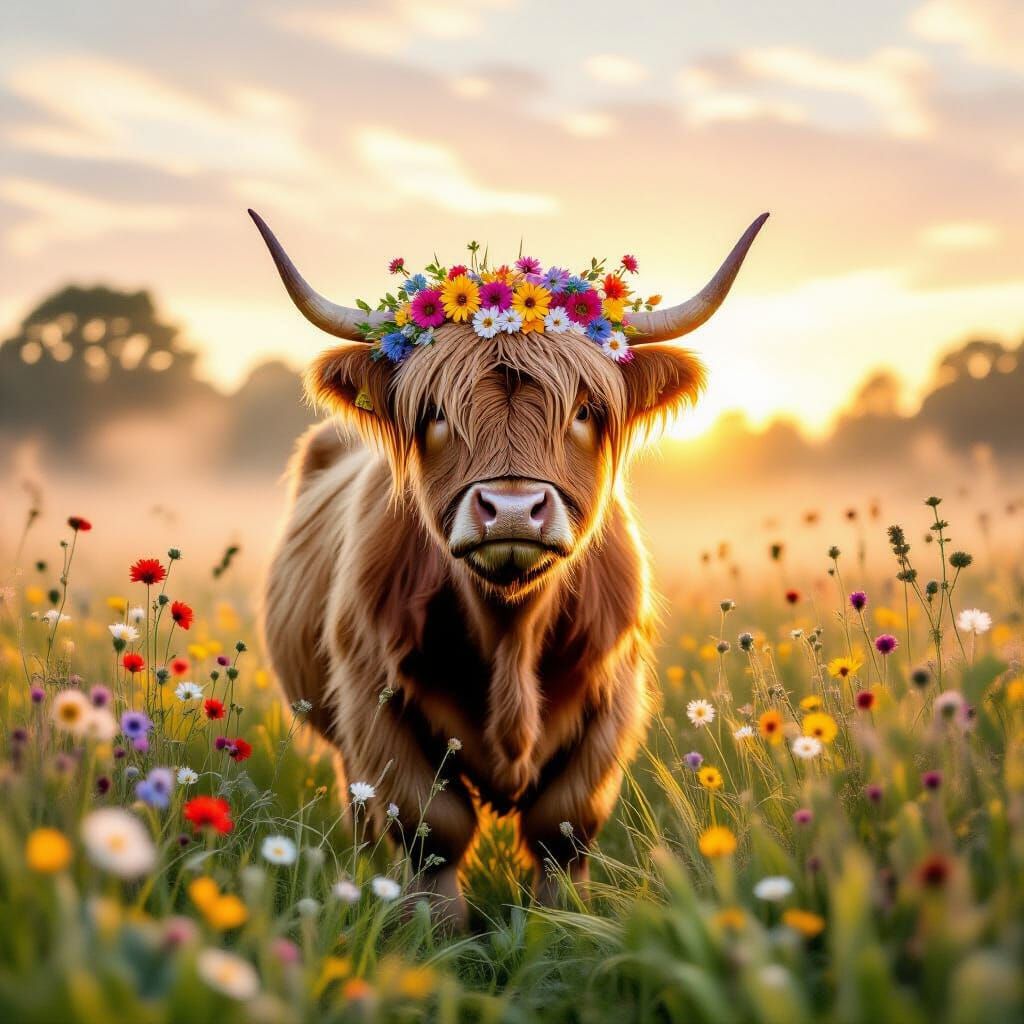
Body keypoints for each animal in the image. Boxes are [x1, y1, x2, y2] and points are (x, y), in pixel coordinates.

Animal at [251, 209, 767, 925]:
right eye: (435, 414)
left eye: (585, 410)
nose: (514, 510)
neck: (510, 635)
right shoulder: (372, 700)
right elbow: (432, 828)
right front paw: (436, 933)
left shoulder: (611, 699)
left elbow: (562, 828)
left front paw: (559, 926)